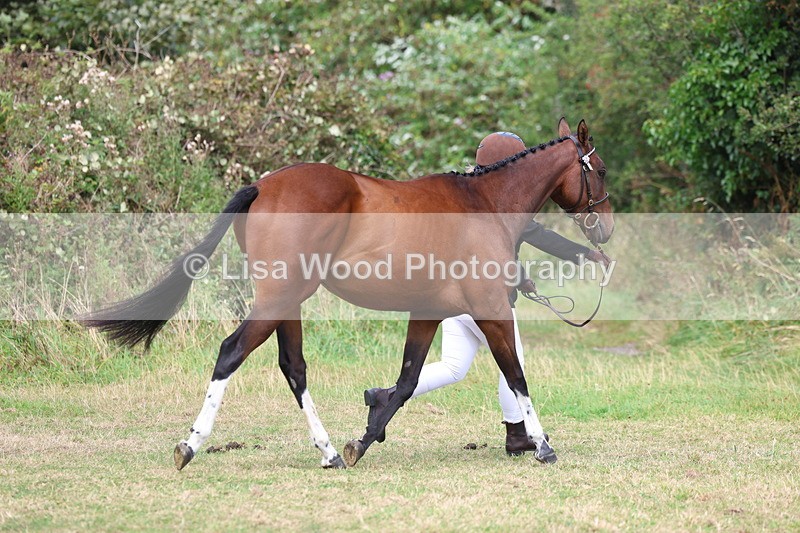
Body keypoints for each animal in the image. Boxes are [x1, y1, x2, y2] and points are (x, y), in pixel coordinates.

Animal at [83, 118, 614, 470]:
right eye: (601, 170)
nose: (605, 231)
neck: (484, 204)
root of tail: (262, 186)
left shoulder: (427, 311)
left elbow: (406, 380)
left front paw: (366, 435)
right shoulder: (490, 308)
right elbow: (516, 374)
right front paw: (542, 445)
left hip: (288, 303)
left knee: (293, 369)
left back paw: (330, 452)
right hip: (278, 299)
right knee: (231, 352)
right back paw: (191, 444)